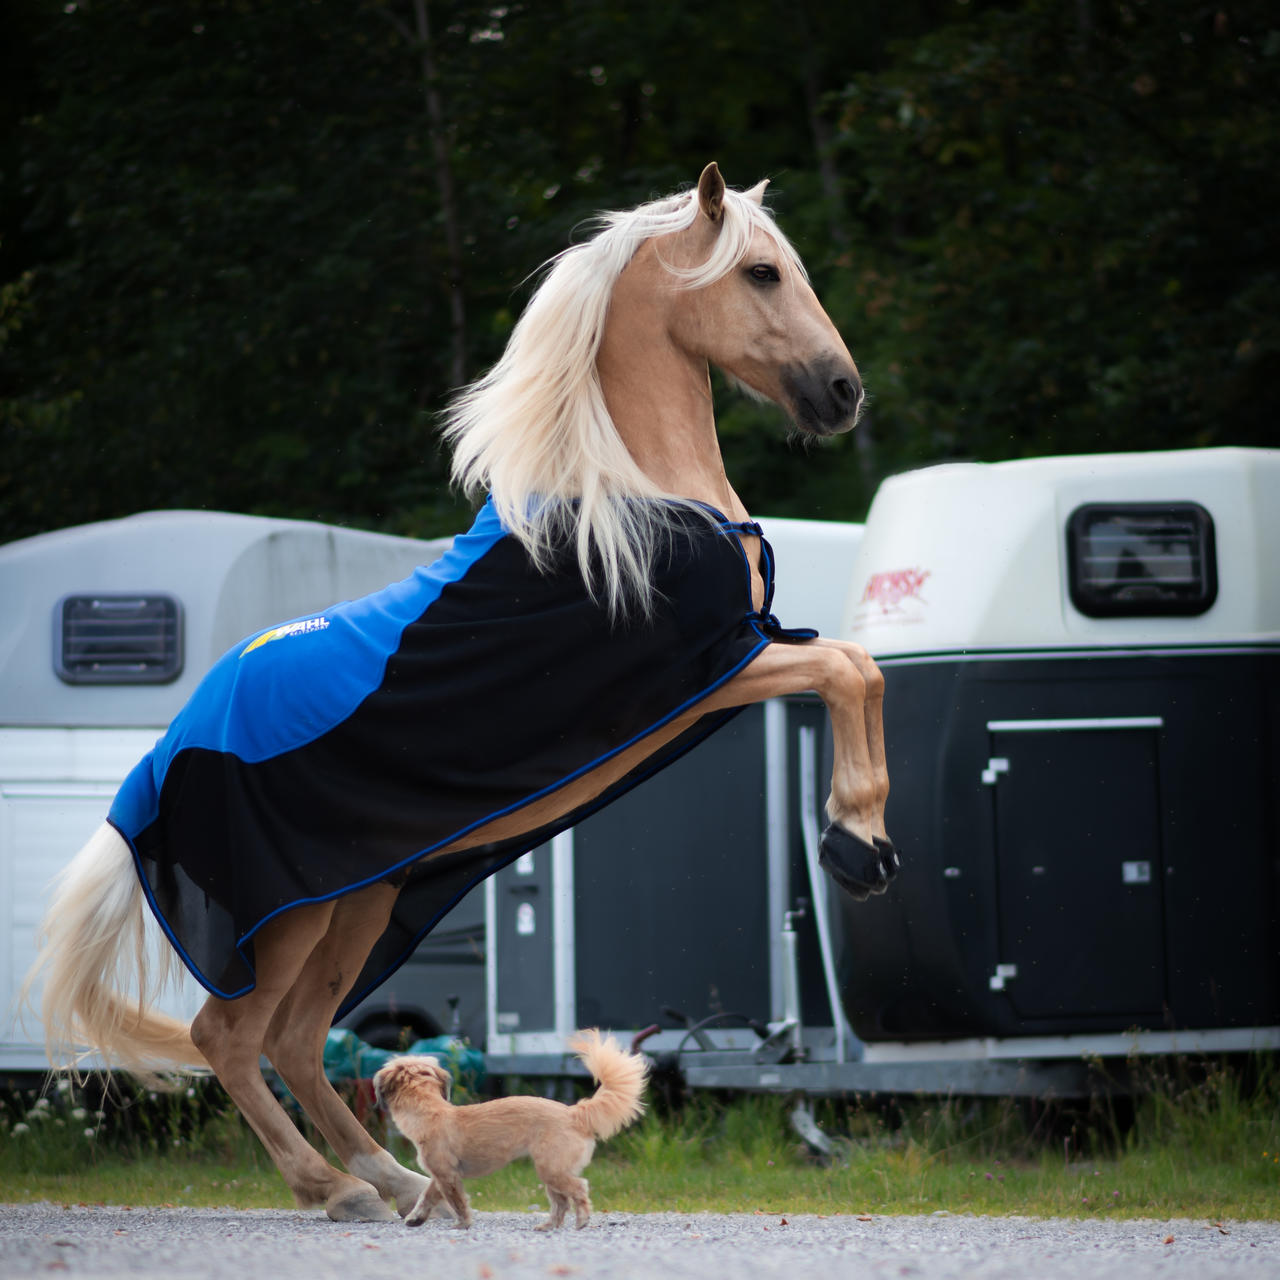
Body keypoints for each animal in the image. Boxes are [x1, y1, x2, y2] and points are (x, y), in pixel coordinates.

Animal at [373, 1029, 645, 1228]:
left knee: (579, 1189)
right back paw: (548, 1226)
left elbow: (457, 1202)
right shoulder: (441, 1175)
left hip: (552, 1168)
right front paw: (416, 1218)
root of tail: (574, 1113)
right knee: (561, 1202)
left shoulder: (447, 1175)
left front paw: (462, 1224)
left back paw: (582, 1220)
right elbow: (427, 1196)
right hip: (551, 1171)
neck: (430, 1111)